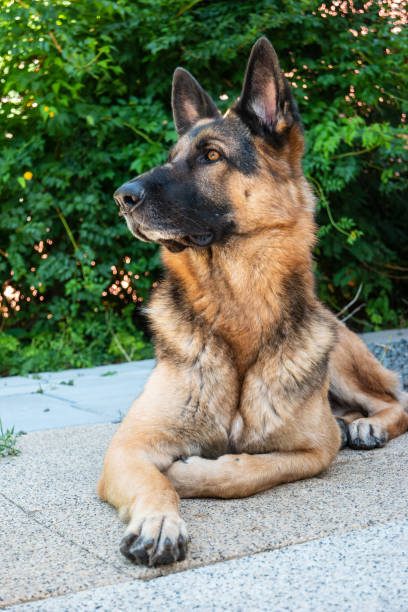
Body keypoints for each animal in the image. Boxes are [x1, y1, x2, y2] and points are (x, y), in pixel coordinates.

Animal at [99, 37, 408, 564]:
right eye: (171, 156)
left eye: (211, 155)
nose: (123, 197)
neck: (236, 305)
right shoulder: (127, 446)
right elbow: (153, 482)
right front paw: (159, 521)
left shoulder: (314, 451)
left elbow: (246, 468)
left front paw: (191, 474)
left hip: (341, 361)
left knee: (393, 399)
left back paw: (369, 426)